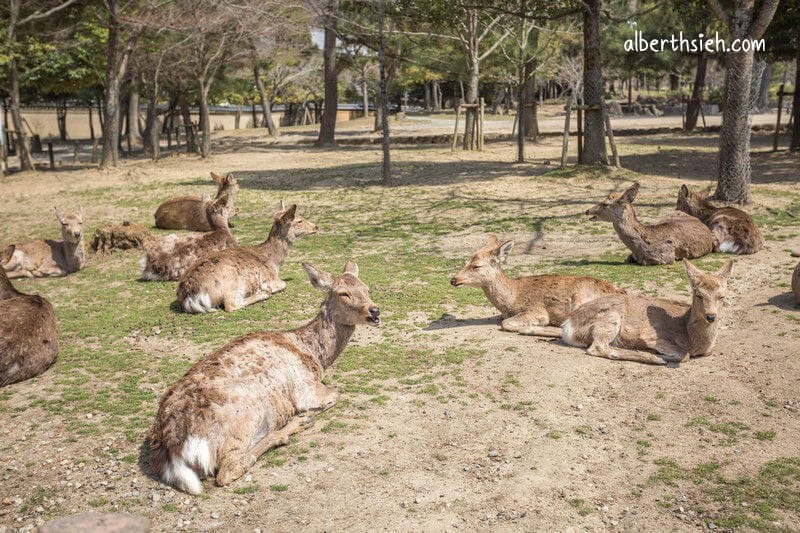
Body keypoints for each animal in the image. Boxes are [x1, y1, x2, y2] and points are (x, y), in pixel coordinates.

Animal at [149, 260, 380, 494]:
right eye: (344, 293)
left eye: (366, 288)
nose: (375, 311)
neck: (313, 355)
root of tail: (174, 452)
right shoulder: (304, 387)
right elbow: (335, 394)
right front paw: (307, 413)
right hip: (247, 414)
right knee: (230, 469)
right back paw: (294, 426)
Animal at [177, 202, 318, 313]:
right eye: (299, 220)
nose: (316, 226)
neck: (275, 263)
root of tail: (189, 298)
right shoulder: (271, 278)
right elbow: (283, 284)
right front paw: (266, 289)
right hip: (230, 279)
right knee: (230, 305)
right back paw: (263, 293)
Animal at [449, 236, 621, 332]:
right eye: (465, 262)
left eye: (476, 266)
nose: (454, 280)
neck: (511, 300)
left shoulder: (537, 310)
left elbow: (505, 323)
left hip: (581, 297)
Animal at [521, 259, 733, 365]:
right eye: (698, 294)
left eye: (722, 296)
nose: (711, 316)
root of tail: (568, 326)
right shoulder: (654, 336)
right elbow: (684, 355)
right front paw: (662, 354)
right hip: (609, 319)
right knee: (598, 348)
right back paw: (654, 358)